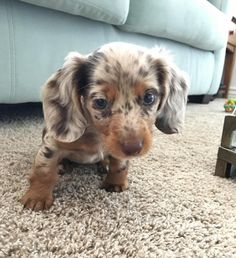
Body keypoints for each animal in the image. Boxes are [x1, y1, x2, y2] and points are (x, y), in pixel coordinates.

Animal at [21, 41, 189, 212]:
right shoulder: (52, 144)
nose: (134, 148)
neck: (97, 134)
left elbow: (120, 165)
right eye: (100, 102)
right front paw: (37, 196)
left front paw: (115, 183)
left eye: (149, 97)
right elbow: (44, 170)